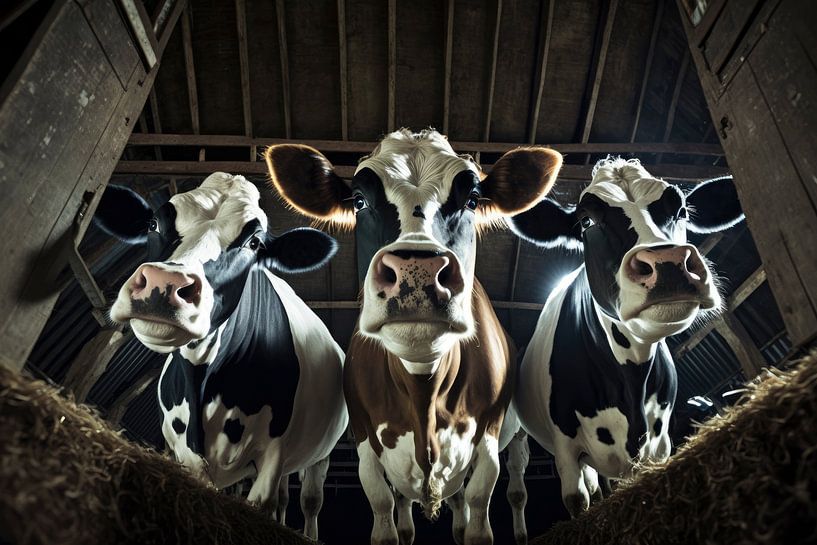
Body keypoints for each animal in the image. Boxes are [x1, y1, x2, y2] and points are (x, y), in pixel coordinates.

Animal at [93, 172, 348, 536]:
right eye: (154, 223)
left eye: (254, 244)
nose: (164, 283)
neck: (202, 377)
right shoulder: (183, 450)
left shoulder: (274, 452)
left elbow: (263, 504)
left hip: (319, 455)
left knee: (310, 500)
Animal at [266, 130, 560, 540]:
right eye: (359, 200)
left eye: (472, 199)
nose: (417, 270)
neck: (425, 392)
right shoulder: (365, 446)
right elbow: (386, 515)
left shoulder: (488, 442)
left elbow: (479, 514)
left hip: (515, 440)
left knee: (512, 489)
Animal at [506, 158, 744, 520]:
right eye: (586, 221)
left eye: (682, 210)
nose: (667, 262)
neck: (631, 372)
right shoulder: (566, 448)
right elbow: (578, 501)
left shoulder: (660, 443)